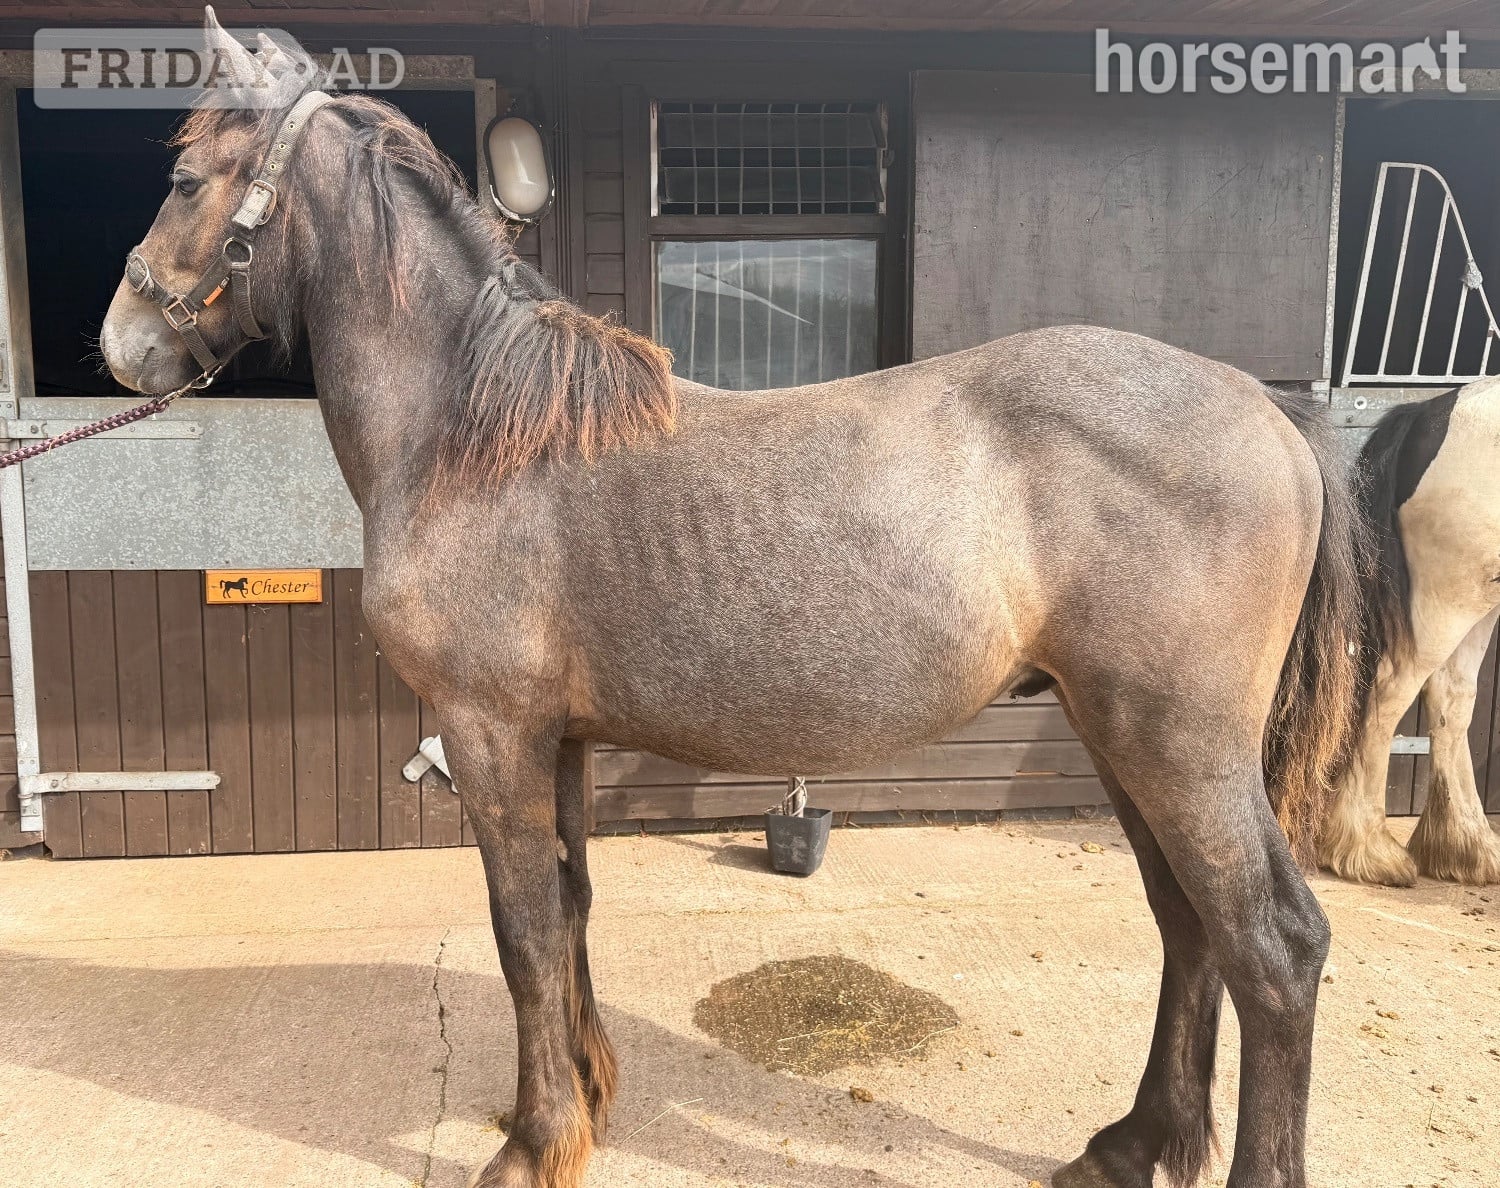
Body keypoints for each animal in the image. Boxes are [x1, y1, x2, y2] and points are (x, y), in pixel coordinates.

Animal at [98, 15, 1369, 1187]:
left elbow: (521, 931)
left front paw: (534, 1142)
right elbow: (571, 907)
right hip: (1122, 737)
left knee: (1272, 947)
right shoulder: (558, 740)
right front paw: (589, 1097)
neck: (479, 438)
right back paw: (1130, 1144)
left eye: (184, 175)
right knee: (1188, 926)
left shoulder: (491, 732)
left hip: (1178, 745)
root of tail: (1263, 407)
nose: (121, 342)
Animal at [1319, 378, 1500, 887]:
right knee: (1392, 690)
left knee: (1452, 698)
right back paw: (1368, 850)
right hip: (1452, 599)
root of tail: (1430, 412)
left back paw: (1467, 847)